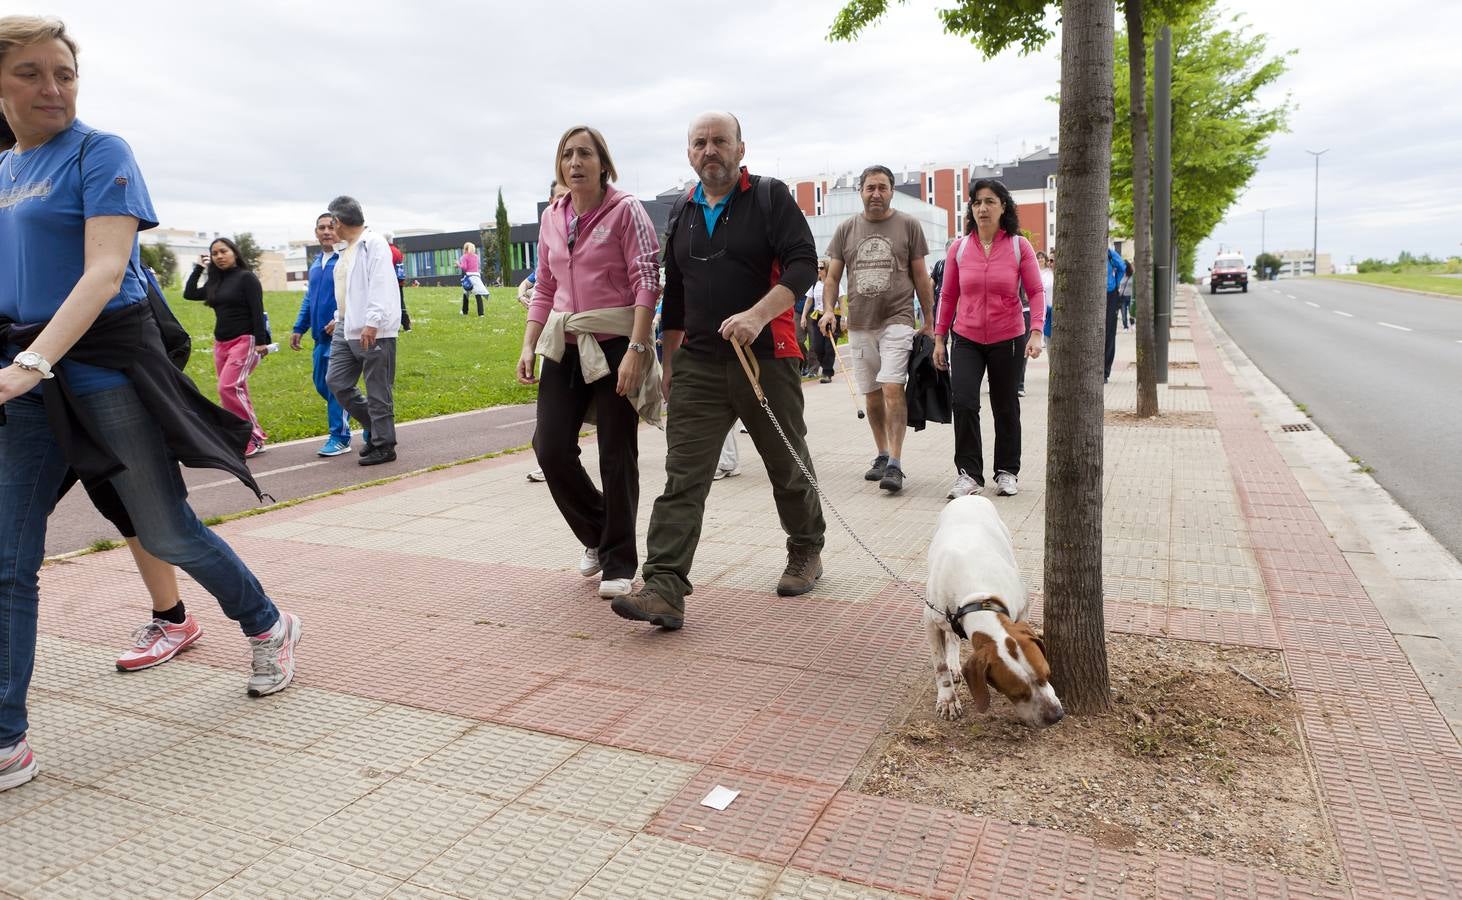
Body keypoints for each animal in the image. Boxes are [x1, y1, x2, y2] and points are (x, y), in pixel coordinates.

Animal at [923, 496, 1064, 727]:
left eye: (1047, 674)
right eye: (1017, 693)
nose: (1056, 716)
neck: (977, 596)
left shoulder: (1022, 609)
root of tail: (969, 495)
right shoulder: (931, 619)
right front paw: (948, 700)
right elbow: (940, 665)